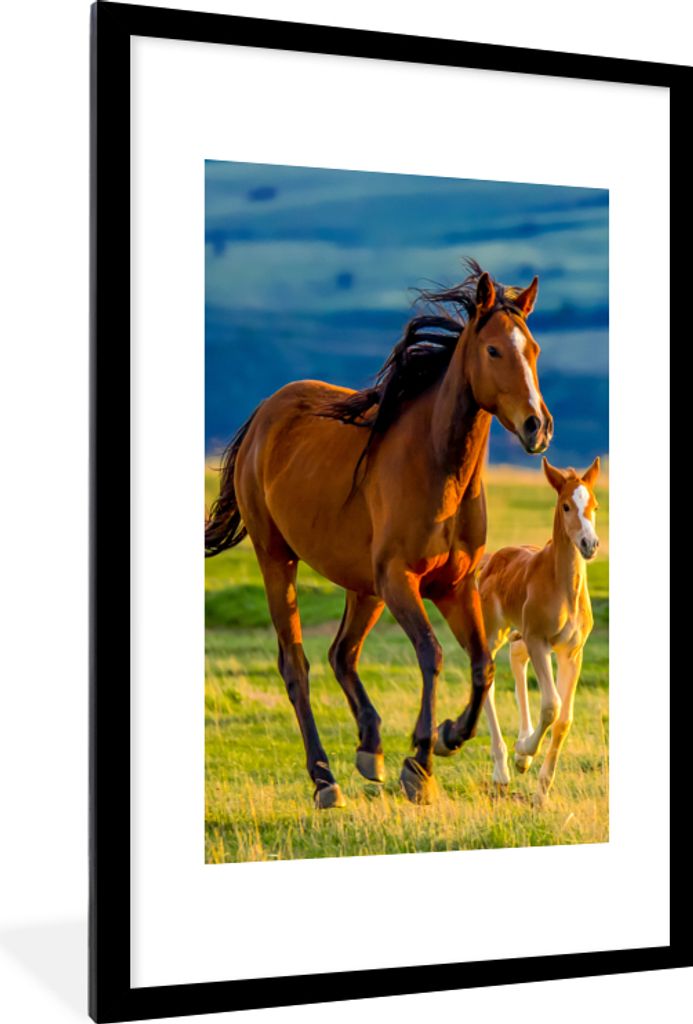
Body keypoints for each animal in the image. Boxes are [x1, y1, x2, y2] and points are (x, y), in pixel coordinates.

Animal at [205, 259, 553, 808]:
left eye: (534, 349)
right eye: (494, 350)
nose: (538, 427)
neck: (438, 467)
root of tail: (264, 414)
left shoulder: (454, 586)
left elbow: (482, 665)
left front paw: (450, 736)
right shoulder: (400, 581)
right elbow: (432, 655)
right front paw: (421, 763)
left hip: (361, 586)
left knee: (341, 654)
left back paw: (370, 749)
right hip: (277, 559)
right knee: (297, 664)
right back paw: (324, 778)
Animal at [467, 456, 600, 806]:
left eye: (594, 505)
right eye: (566, 506)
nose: (590, 544)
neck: (563, 587)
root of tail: (492, 559)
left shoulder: (572, 651)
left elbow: (564, 718)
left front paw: (541, 792)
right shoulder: (539, 641)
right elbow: (552, 705)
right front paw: (524, 750)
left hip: (521, 634)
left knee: (516, 658)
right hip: (495, 632)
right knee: (487, 677)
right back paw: (503, 769)